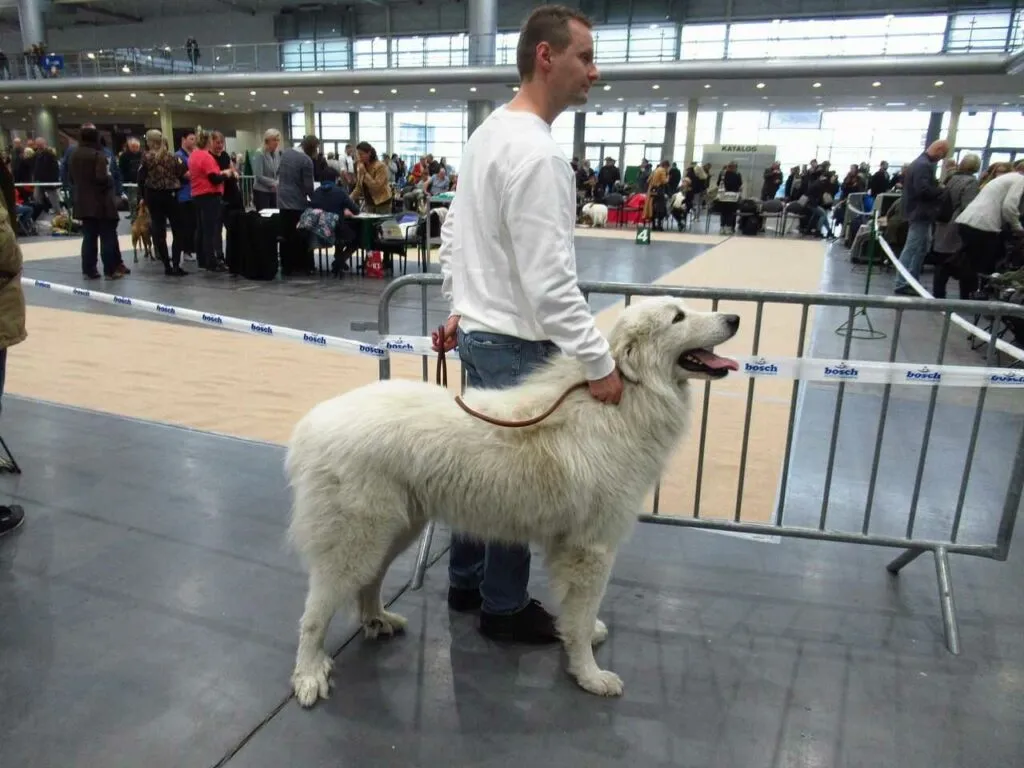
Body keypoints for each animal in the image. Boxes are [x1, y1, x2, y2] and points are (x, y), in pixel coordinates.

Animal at [284, 296, 741, 708]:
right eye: (677, 317)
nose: (734, 318)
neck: (628, 396)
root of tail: (310, 423)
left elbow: (576, 614)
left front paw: (582, 641)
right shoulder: (592, 549)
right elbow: (579, 616)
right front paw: (589, 675)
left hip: (395, 529)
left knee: (370, 581)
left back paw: (377, 619)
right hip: (355, 539)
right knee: (313, 613)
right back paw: (308, 674)